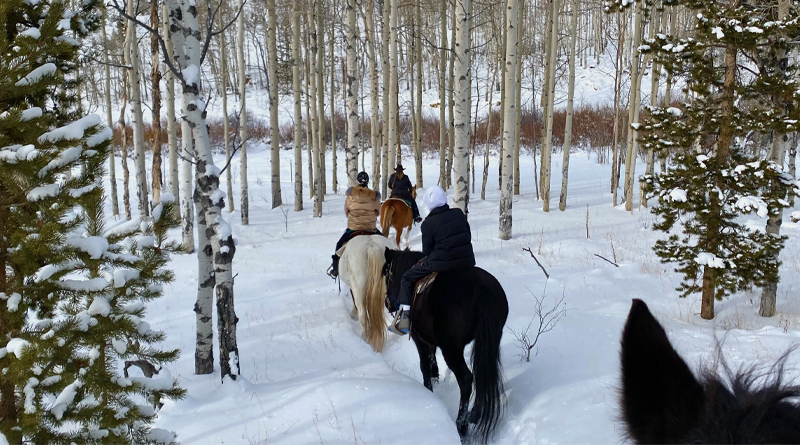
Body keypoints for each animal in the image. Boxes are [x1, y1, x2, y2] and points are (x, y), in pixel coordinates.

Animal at [382, 248, 506, 442]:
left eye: (386, 273)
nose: (387, 303)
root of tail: (483, 288)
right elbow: (432, 361)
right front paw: (435, 380)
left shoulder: (419, 339)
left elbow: (424, 365)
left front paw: (429, 391)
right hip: (489, 339)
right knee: (483, 371)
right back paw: (475, 414)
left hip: (451, 349)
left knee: (466, 379)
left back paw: (461, 426)